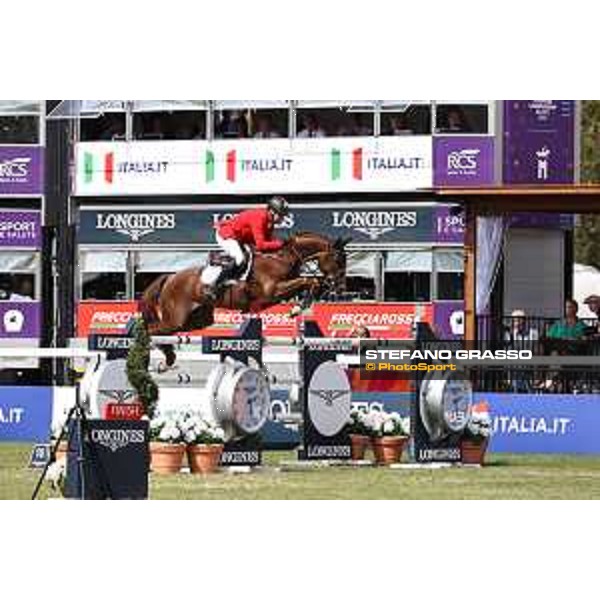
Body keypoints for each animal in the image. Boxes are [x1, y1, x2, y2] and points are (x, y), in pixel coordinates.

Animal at [138, 233, 350, 366]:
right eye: (338, 259)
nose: (341, 288)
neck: (282, 259)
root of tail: (170, 277)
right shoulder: (272, 292)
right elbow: (308, 280)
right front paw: (298, 308)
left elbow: (309, 282)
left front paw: (300, 306)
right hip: (175, 318)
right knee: (151, 330)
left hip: (195, 320)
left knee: (163, 332)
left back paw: (168, 359)